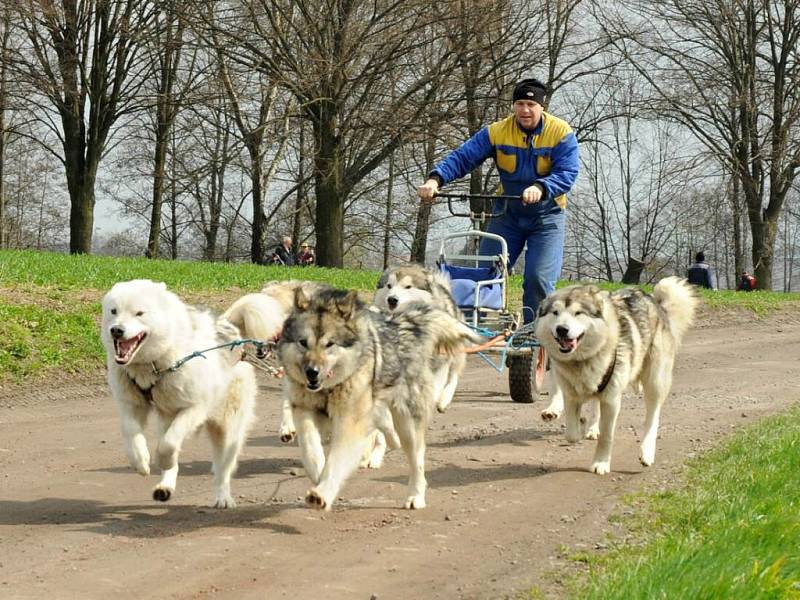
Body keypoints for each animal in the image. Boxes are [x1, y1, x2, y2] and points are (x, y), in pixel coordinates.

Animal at [101, 280, 256, 506]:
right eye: (114, 311)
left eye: (139, 313)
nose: (116, 330)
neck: (153, 365)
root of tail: (234, 336)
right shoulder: (131, 404)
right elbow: (131, 432)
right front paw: (140, 461)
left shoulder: (194, 408)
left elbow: (169, 444)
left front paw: (162, 460)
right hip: (166, 416)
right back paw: (164, 487)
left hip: (227, 429)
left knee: (223, 469)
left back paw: (223, 497)